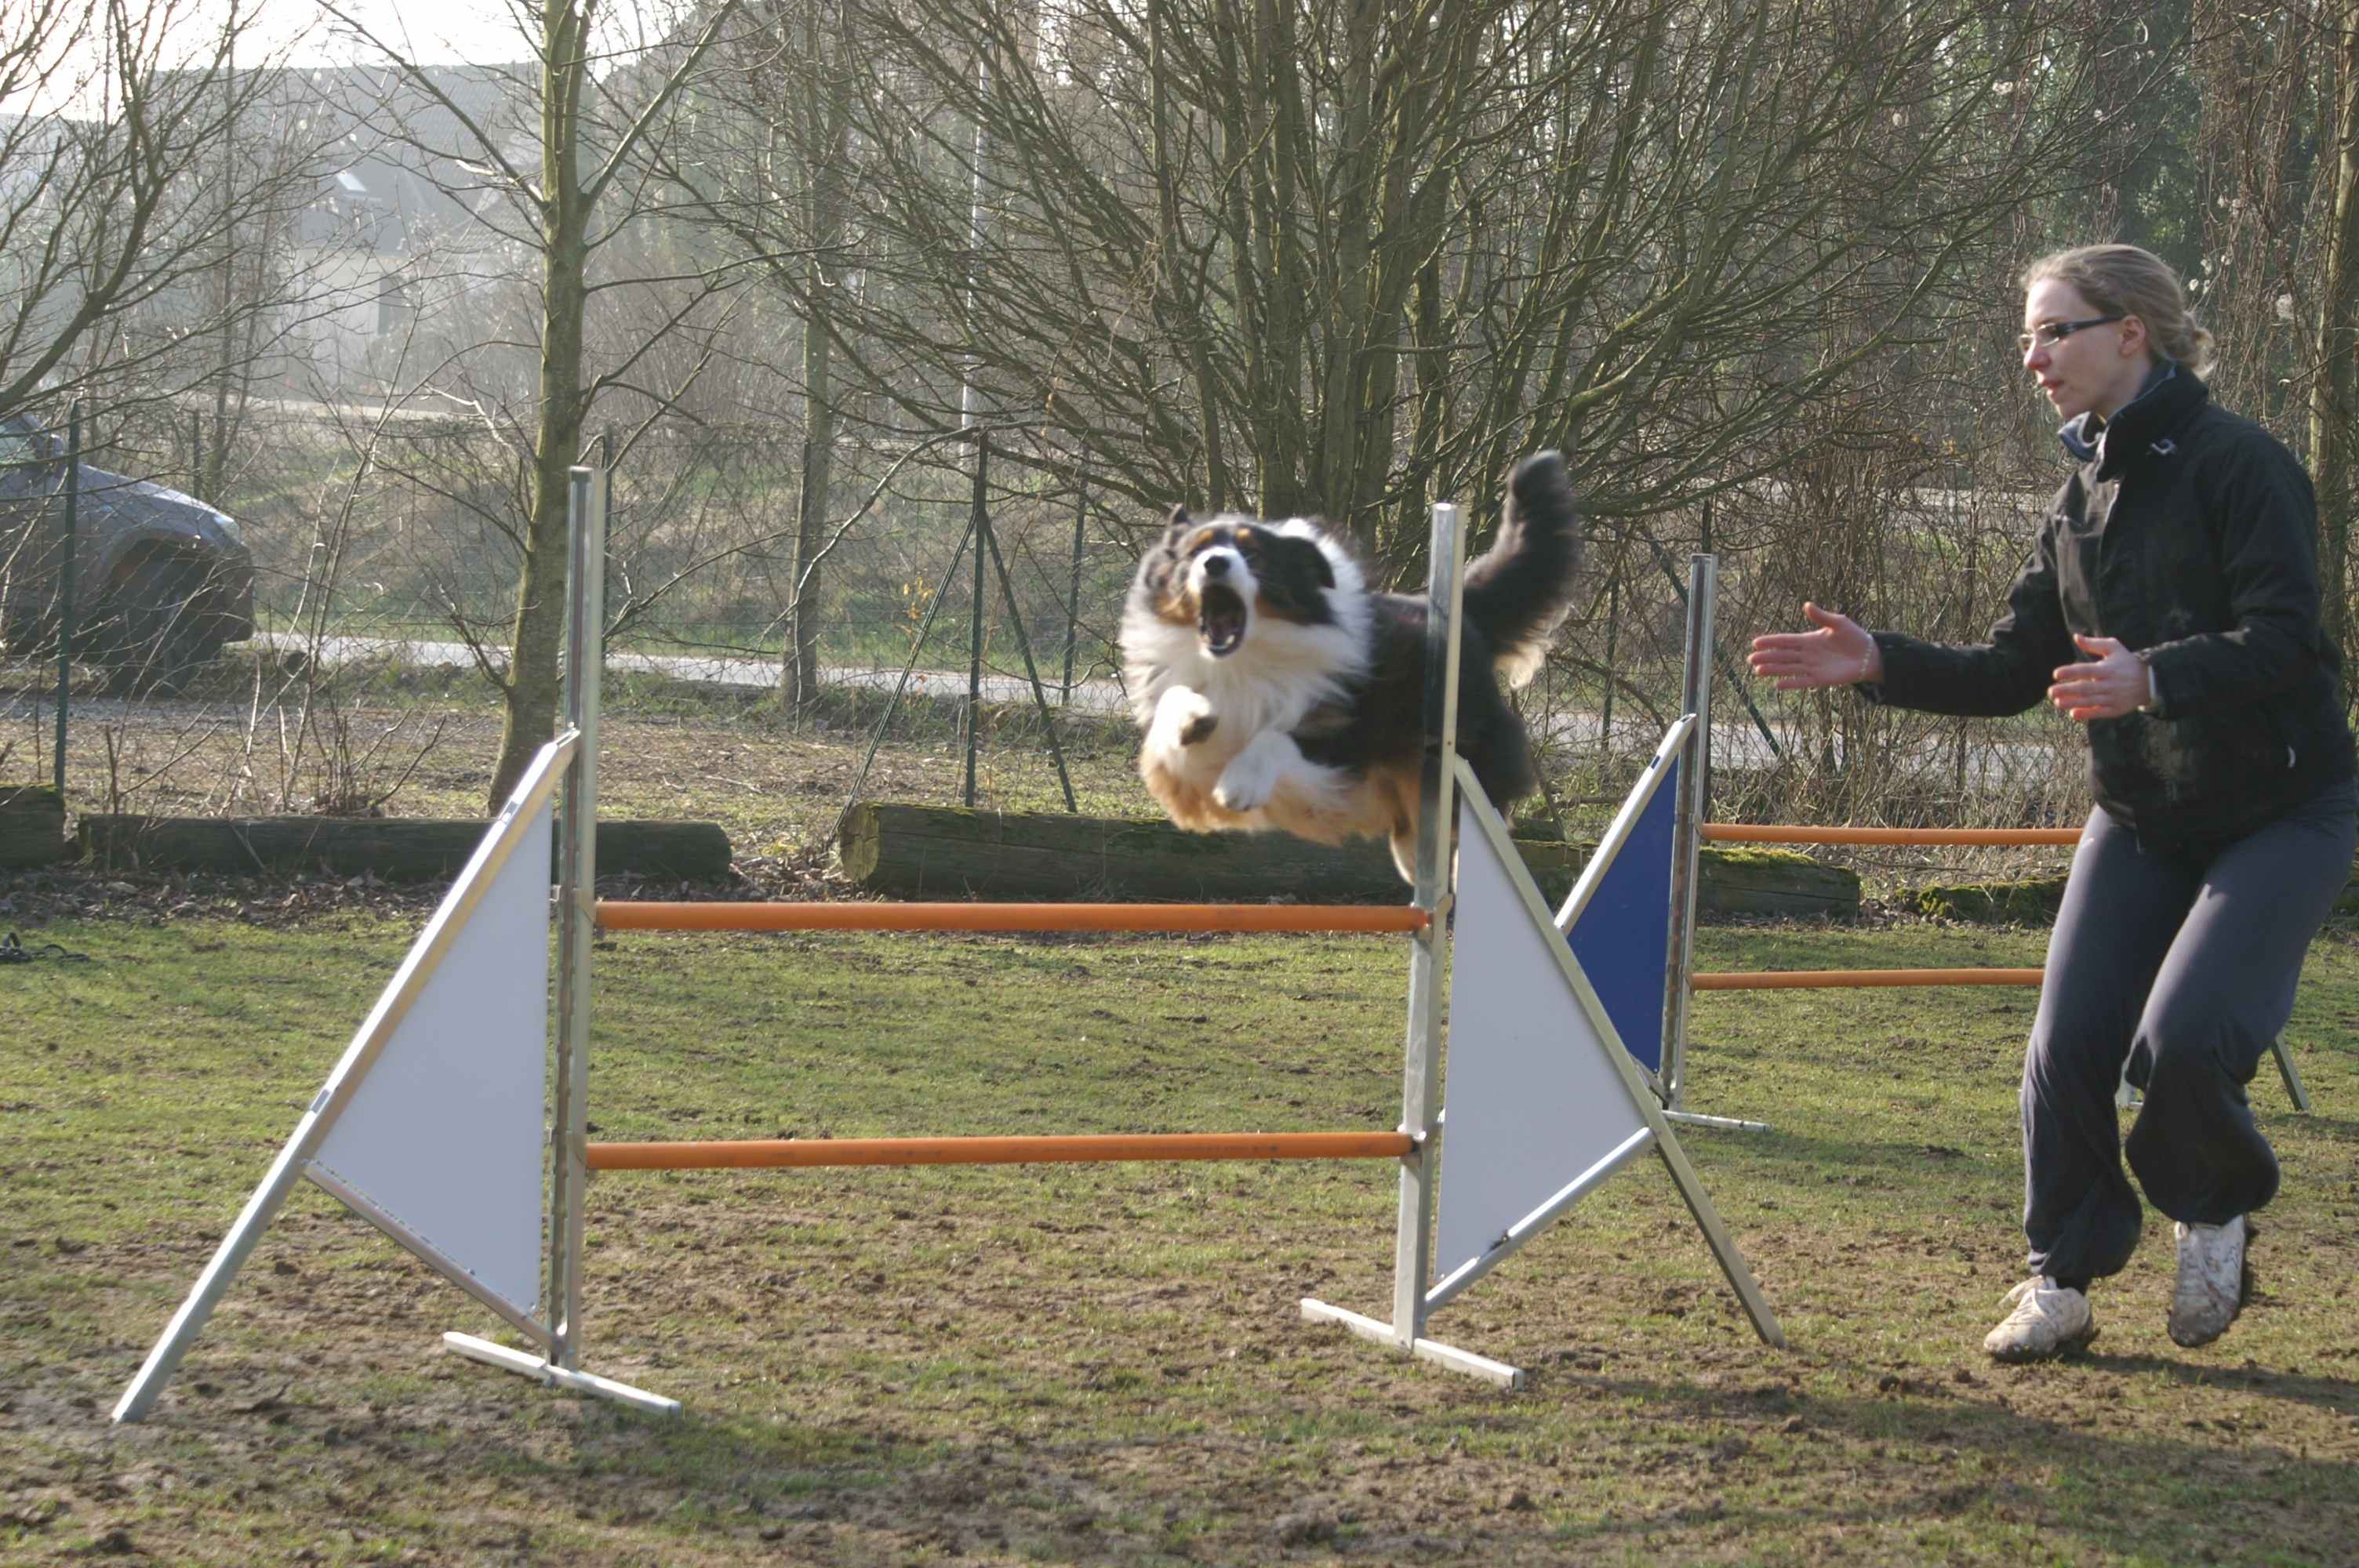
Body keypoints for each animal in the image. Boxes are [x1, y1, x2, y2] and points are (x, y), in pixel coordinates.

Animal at [1119, 450, 1583, 882]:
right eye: (1196, 550)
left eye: (1252, 554)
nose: (1215, 563)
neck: (1241, 661)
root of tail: (1455, 613)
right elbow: (1175, 705)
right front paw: (1192, 719)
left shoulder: (1342, 737)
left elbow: (1277, 736)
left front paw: (1240, 783)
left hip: (1462, 753)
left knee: (1487, 814)